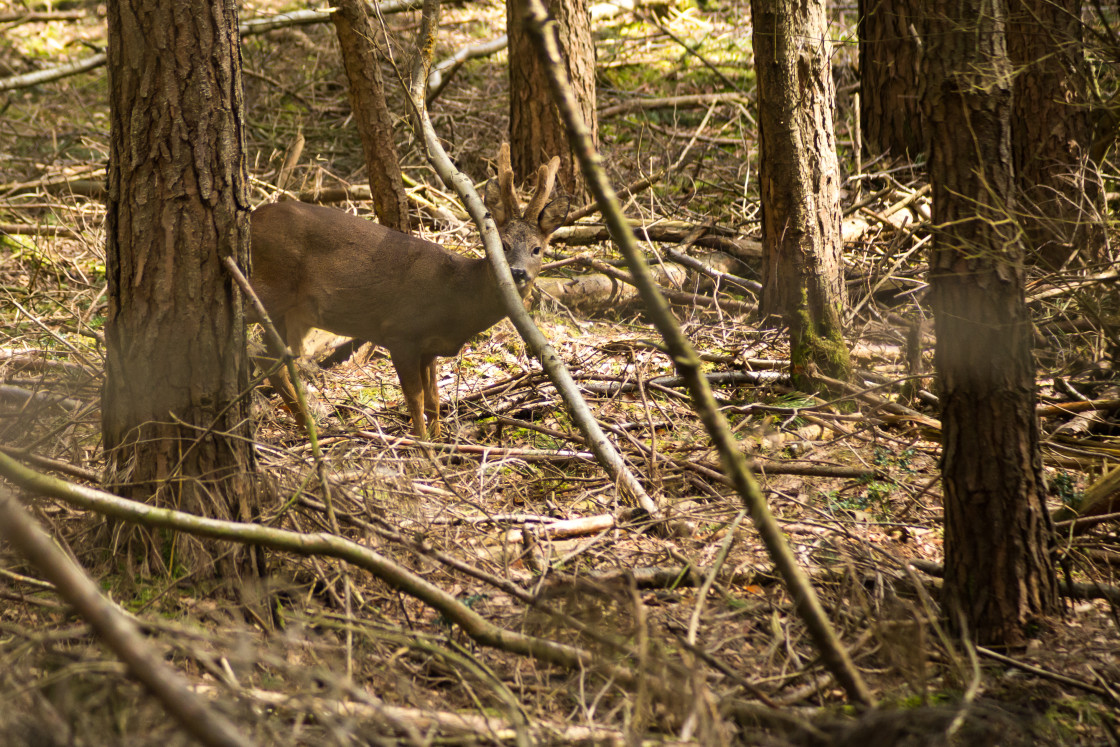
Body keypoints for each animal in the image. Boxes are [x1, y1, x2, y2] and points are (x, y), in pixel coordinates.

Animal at [252, 143, 568, 441]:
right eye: (503, 244)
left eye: (537, 249)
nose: (517, 272)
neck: (457, 293)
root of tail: (252, 217)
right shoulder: (400, 332)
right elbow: (414, 399)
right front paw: (423, 447)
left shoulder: (429, 347)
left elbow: (433, 400)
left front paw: (441, 444)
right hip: (269, 289)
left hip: (292, 313)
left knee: (274, 359)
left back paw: (310, 427)